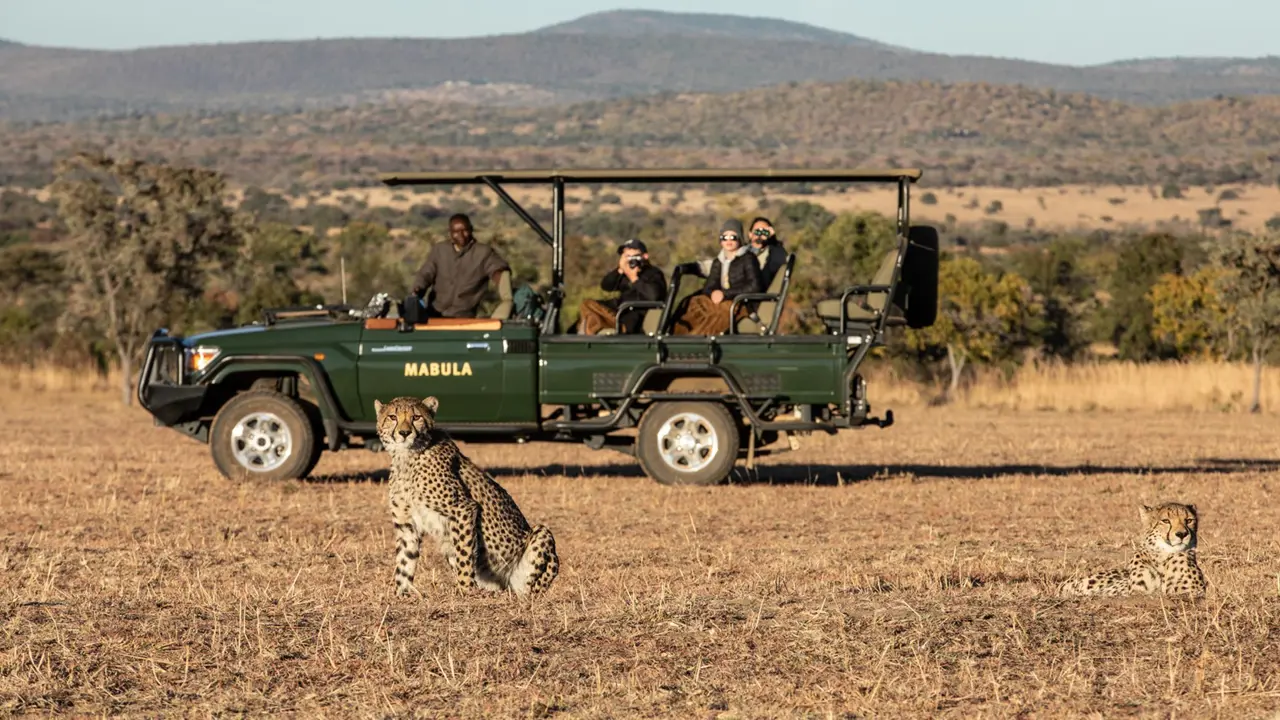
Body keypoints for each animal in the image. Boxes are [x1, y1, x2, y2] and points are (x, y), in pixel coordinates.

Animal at [374, 395, 558, 599]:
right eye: (392, 417)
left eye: (416, 417)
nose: (404, 433)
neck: (406, 457)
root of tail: (506, 586)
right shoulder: (406, 524)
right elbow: (404, 562)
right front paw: (401, 594)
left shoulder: (463, 509)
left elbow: (464, 554)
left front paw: (465, 589)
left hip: (541, 534)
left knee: (530, 589)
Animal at [1059, 501, 1207, 598]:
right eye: (1165, 521)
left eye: (1189, 520)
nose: (1182, 534)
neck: (1163, 557)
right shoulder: (1137, 592)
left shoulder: (1194, 592)